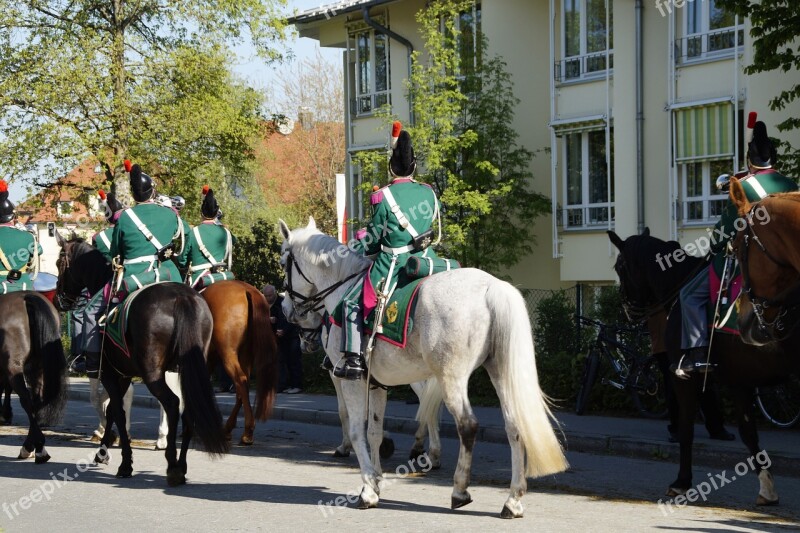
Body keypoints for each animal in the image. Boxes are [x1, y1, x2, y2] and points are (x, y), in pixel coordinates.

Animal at [0, 288, 67, 460]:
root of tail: (26, 297)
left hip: (14, 368)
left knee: (26, 399)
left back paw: (35, 447)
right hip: (37, 367)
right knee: (35, 400)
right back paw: (32, 446)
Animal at [54, 231, 228, 484]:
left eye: (59, 263)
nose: (58, 299)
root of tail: (181, 297)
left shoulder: (109, 374)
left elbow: (116, 411)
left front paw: (124, 462)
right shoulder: (124, 375)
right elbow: (112, 410)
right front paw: (103, 451)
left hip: (152, 373)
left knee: (172, 403)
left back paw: (172, 465)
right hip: (189, 369)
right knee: (188, 409)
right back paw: (182, 465)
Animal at [203, 278, 278, 444]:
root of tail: (247, 289)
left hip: (228, 353)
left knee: (240, 380)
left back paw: (247, 430)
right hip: (245, 354)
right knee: (242, 386)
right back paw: (232, 430)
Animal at [278, 218, 564, 516]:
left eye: (282, 260)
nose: (286, 309)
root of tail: (491, 287)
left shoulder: (349, 379)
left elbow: (356, 428)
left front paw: (367, 490)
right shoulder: (376, 384)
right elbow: (374, 432)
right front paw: (376, 480)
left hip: (451, 378)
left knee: (466, 425)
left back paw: (459, 489)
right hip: (498, 372)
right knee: (514, 426)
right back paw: (512, 499)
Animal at [608, 227, 796, 504]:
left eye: (619, 267)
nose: (628, 310)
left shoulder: (683, 379)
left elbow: (687, 430)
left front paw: (681, 482)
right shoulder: (741, 381)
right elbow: (748, 433)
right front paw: (767, 487)